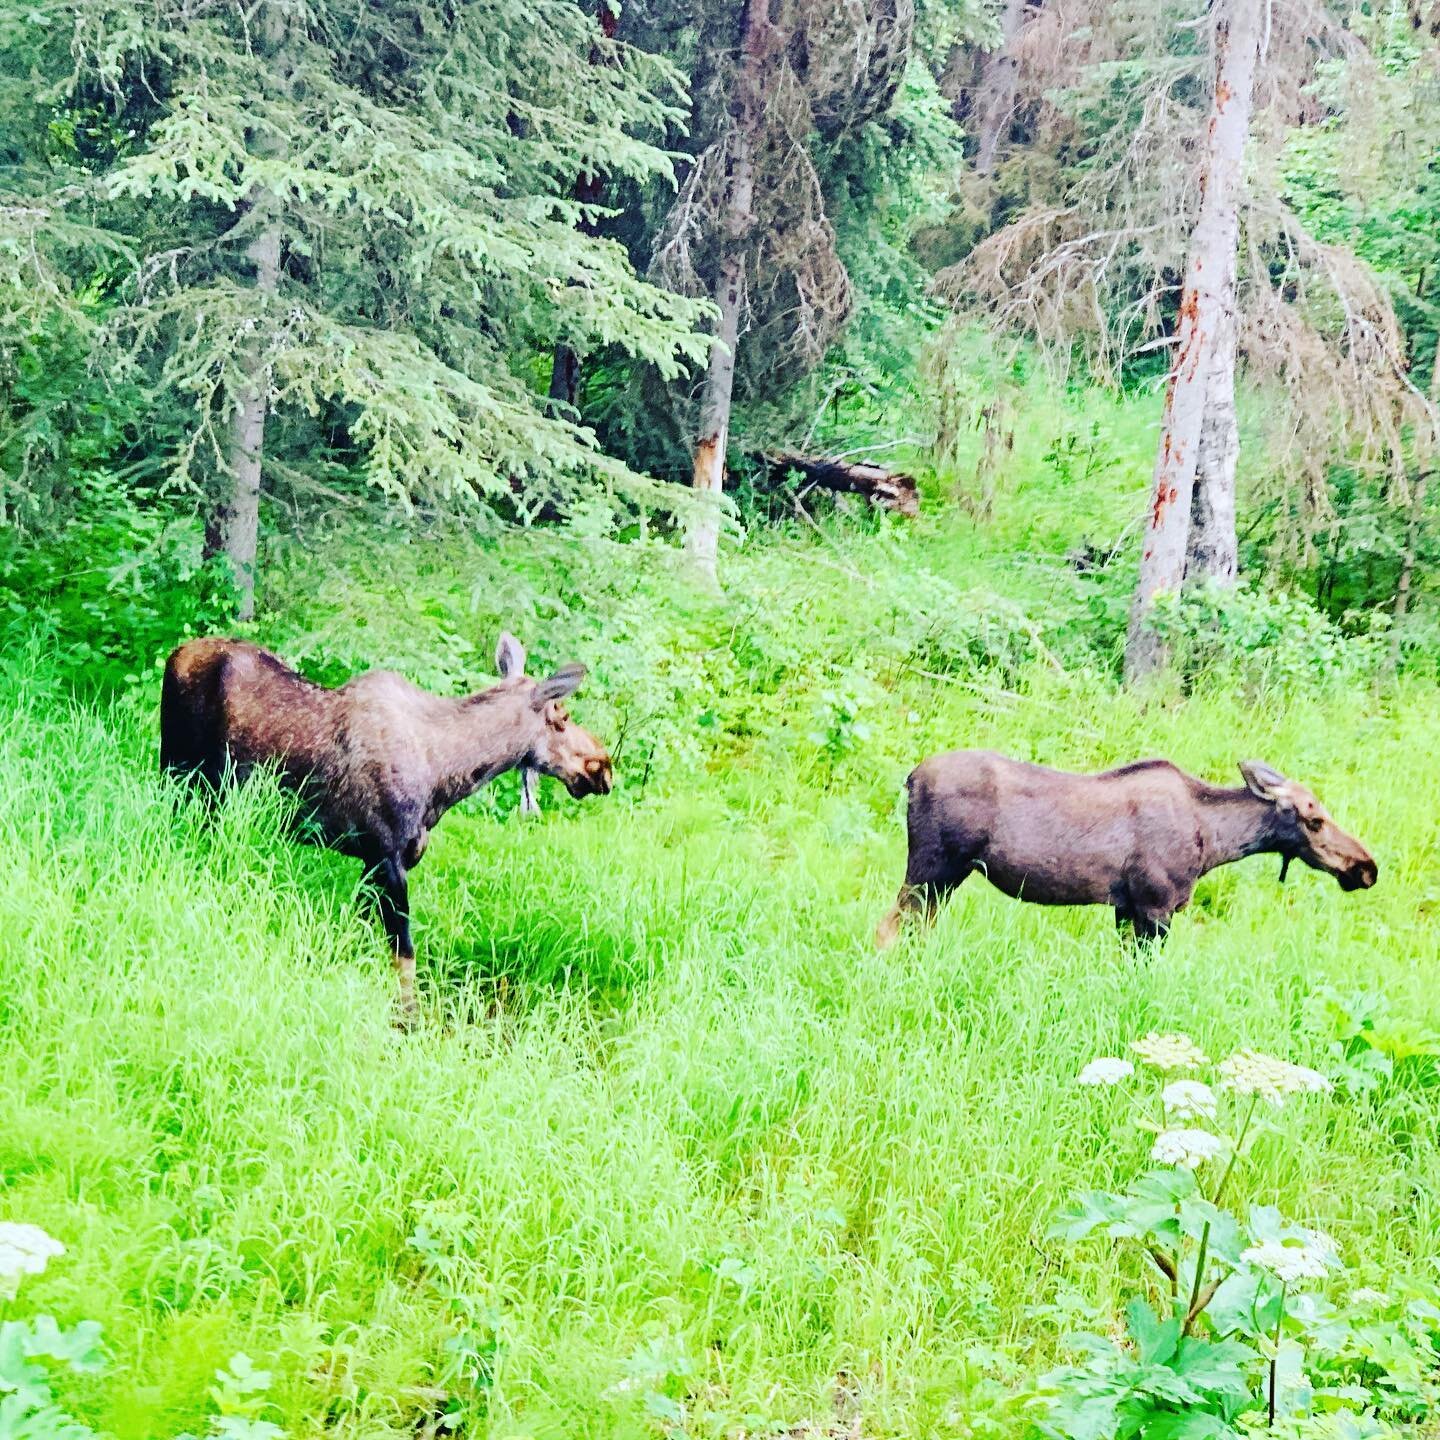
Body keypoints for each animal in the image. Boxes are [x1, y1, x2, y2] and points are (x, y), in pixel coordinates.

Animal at [163, 633, 613, 1025]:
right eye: (562, 717)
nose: (603, 767)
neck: (445, 775)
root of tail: (175, 654)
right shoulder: (387, 856)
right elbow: (405, 953)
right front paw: (409, 1021)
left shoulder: (373, 861)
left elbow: (355, 933)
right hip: (184, 778)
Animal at [869, 748, 1376, 950]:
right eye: (1314, 819)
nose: (1366, 867)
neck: (1213, 843)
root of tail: (910, 779)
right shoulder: (1155, 906)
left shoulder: (1125, 907)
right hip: (932, 868)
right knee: (887, 929)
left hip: (945, 878)